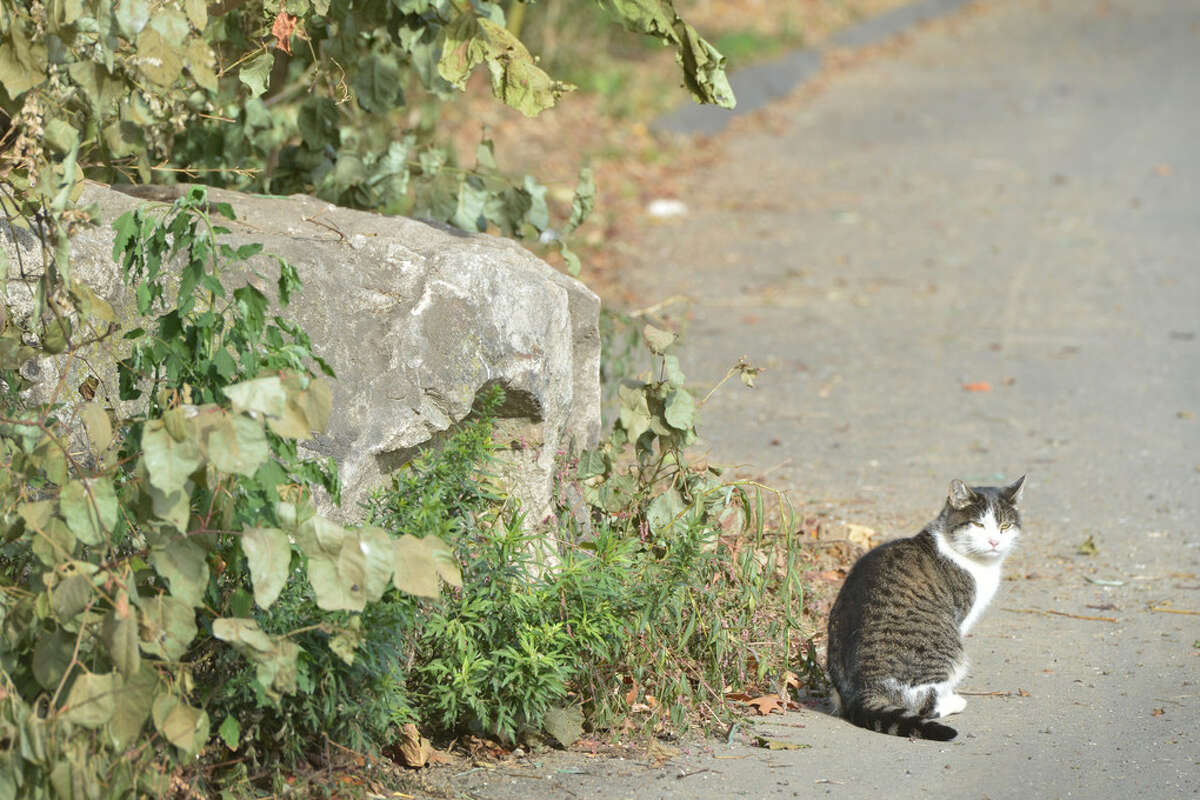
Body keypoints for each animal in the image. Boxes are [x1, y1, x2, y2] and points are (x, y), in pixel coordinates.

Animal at [825, 474, 1032, 743]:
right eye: (978, 525)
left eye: (1005, 526)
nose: (994, 541)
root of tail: (861, 691)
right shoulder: (960, 619)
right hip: (948, 651)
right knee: (925, 704)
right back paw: (953, 701)